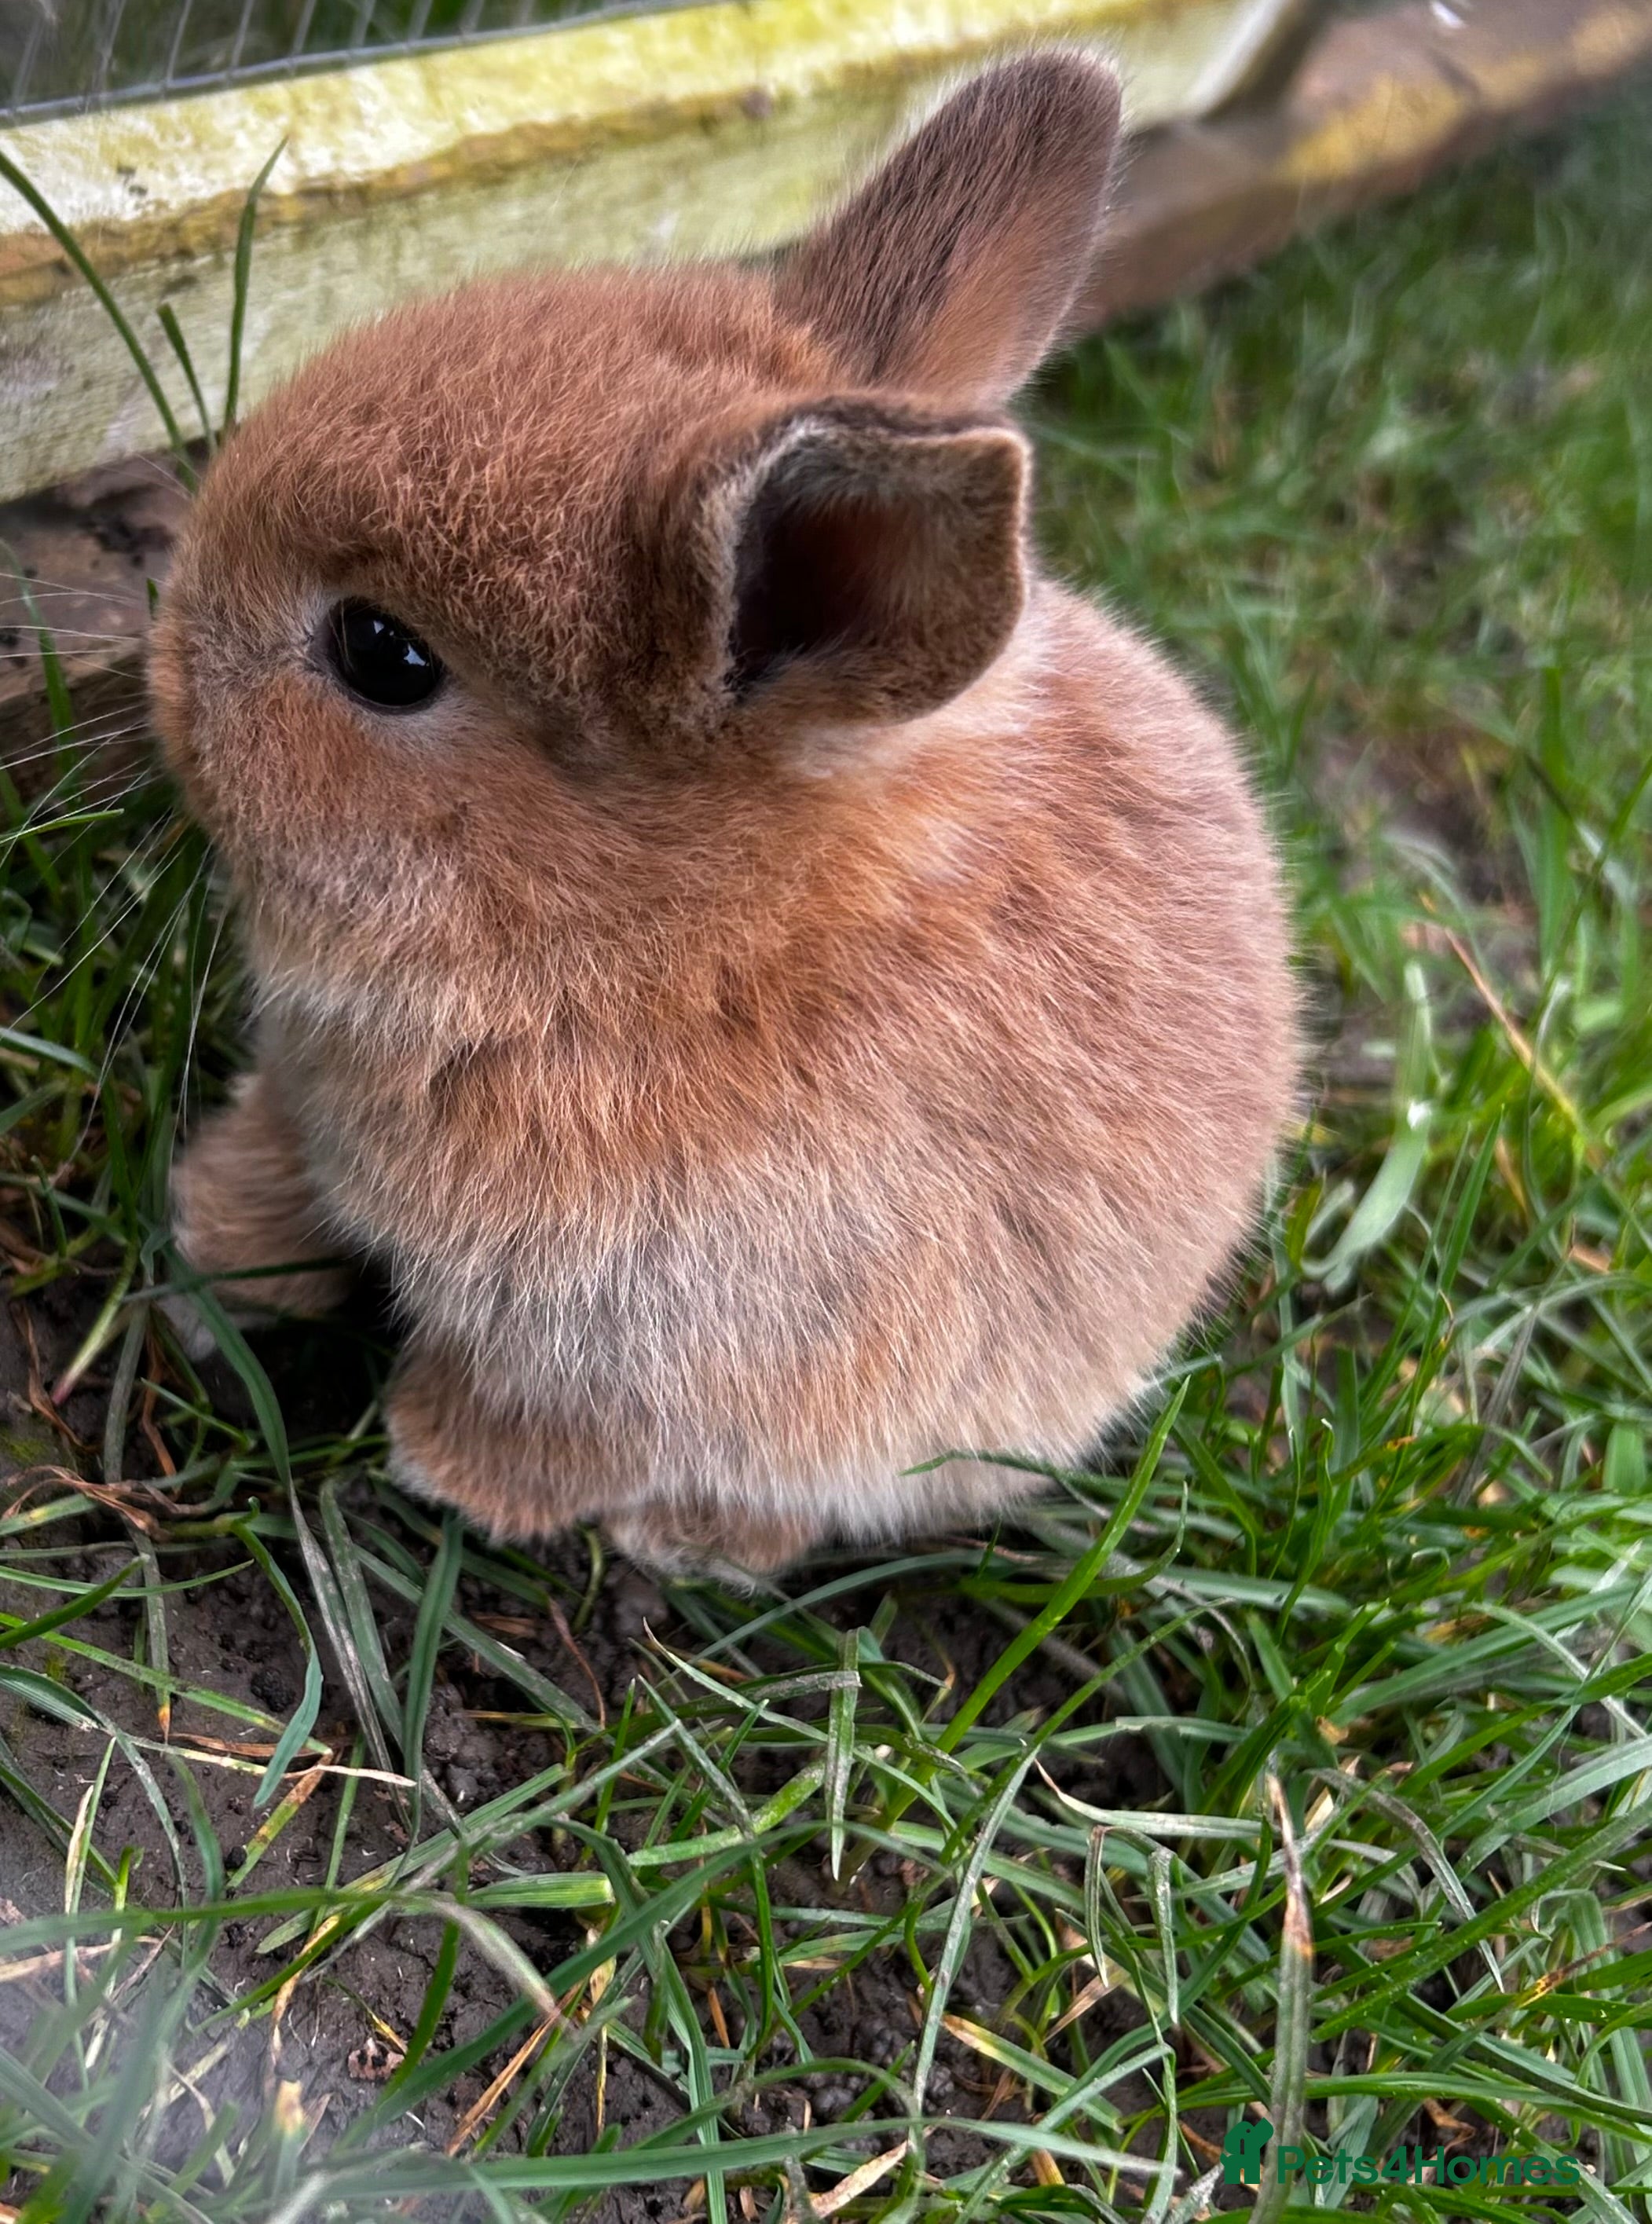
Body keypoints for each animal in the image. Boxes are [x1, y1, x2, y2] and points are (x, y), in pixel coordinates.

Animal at [151, 51, 1298, 1578]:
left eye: (381, 654)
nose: (163, 657)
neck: (677, 942)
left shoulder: (646, 1343)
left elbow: (560, 1426)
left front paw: (447, 1466)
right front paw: (211, 1239)